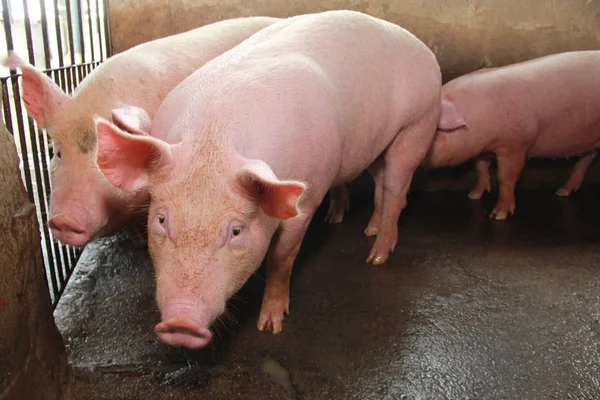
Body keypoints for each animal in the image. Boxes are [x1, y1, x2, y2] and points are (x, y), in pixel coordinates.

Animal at [95, 8, 440, 346]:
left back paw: (376, 256)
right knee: (380, 183)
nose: (181, 323)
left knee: (397, 190)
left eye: (235, 230)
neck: (214, 138)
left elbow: (282, 257)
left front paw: (270, 326)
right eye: (162, 220)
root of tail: (423, 48)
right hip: (376, 143)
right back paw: (362, 227)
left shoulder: (307, 199)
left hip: (419, 123)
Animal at [422, 51, 600, 220]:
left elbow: (505, 178)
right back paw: (562, 191)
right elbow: (480, 168)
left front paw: (498, 215)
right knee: (586, 158)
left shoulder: (516, 145)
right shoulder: (483, 148)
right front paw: (473, 195)